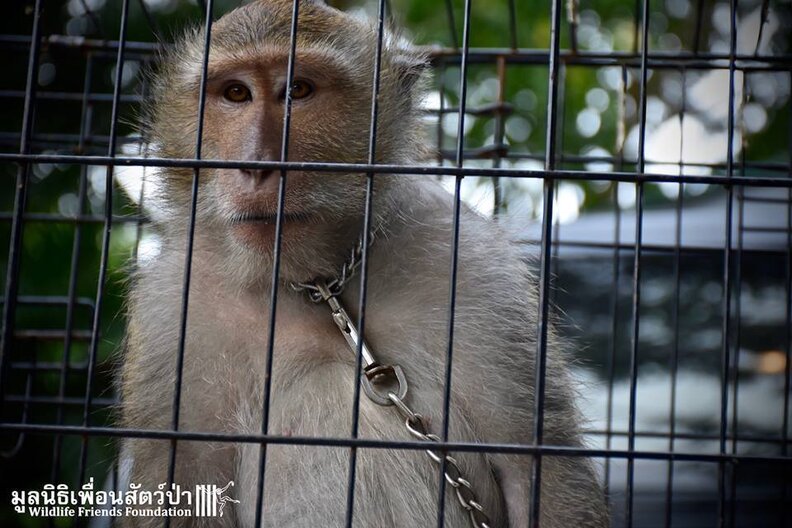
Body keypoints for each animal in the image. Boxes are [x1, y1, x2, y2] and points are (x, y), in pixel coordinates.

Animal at [118, 0, 609, 527]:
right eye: (235, 93)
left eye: (299, 89)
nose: (255, 165)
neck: (318, 285)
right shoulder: (172, 307)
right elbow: (178, 487)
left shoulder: (475, 269)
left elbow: (538, 474)